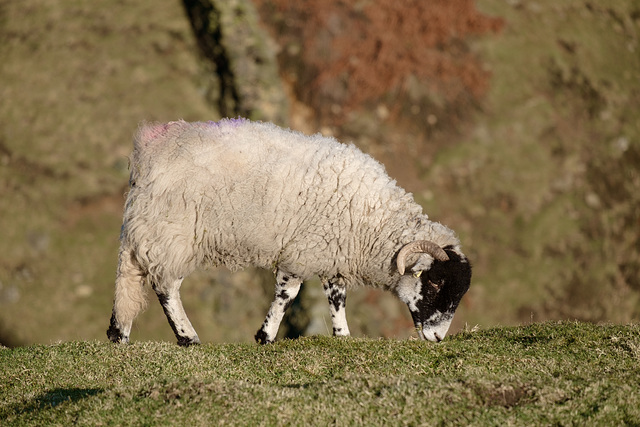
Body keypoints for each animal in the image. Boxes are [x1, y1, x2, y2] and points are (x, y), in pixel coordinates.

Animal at [107, 118, 472, 346]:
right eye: (435, 283)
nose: (438, 338)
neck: (372, 219)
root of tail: (150, 148)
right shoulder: (302, 251)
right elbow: (288, 294)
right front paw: (265, 336)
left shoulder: (330, 249)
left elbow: (336, 297)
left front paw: (343, 336)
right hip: (173, 233)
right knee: (165, 285)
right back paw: (188, 337)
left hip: (146, 229)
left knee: (129, 278)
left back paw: (119, 334)